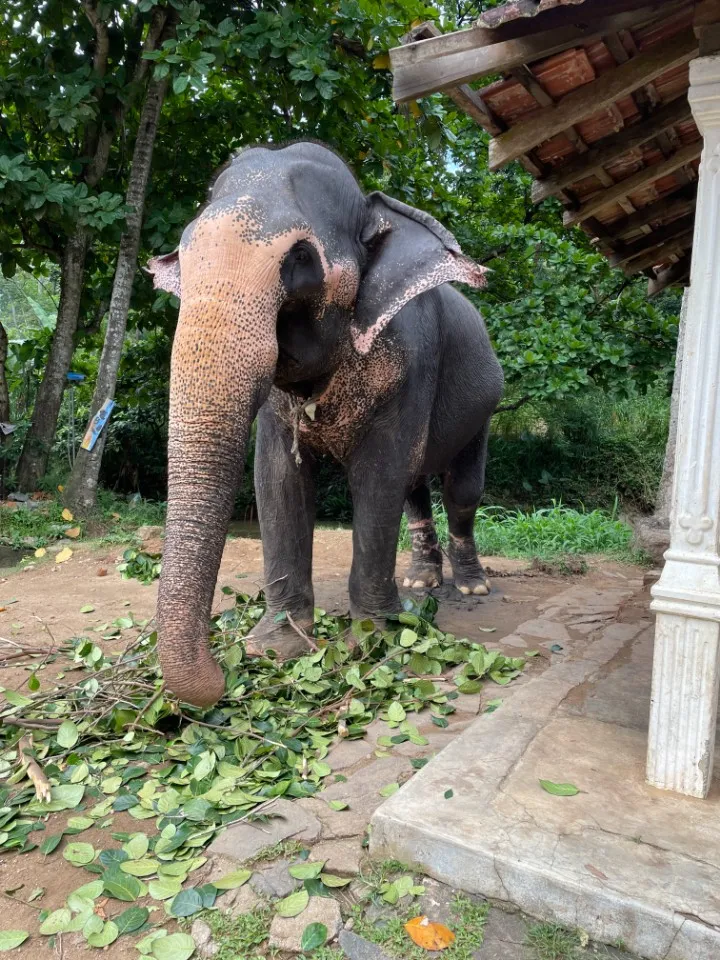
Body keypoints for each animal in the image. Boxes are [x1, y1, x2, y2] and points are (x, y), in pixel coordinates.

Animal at [149, 141, 504, 704]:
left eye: (301, 257)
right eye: (182, 256)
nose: (221, 677)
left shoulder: (412, 358)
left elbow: (378, 478)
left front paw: (377, 640)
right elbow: (277, 480)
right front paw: (276, 648)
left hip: (485, 403)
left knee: (461, 490)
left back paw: (471, 585)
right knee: (415, 489)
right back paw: (421, 584)